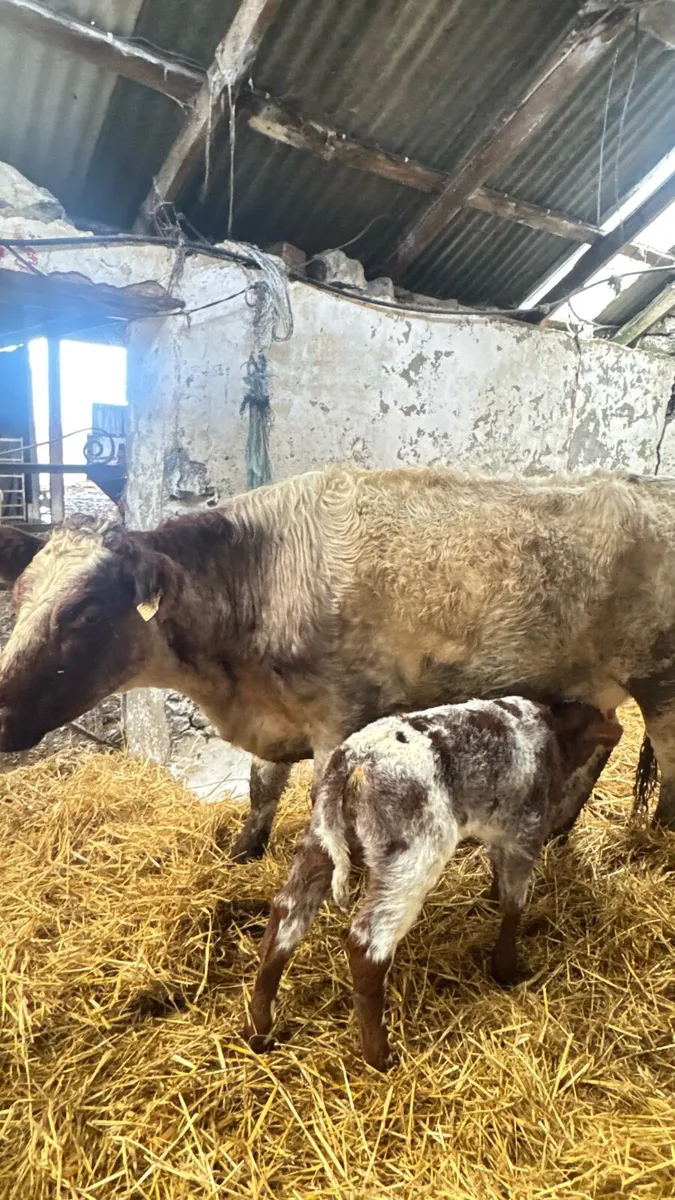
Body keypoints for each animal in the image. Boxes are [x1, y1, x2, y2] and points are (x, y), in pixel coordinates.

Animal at [0, 465, 671, 853]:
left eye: (84, 614)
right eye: (20, 596)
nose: (1, 716)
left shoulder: (338, 719)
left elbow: (323, 812)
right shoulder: (277, 714)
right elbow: (261, 789)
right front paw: (243, 851)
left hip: (658, 677)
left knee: (666, 754)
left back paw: (656, 838)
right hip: (583, 680)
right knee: (605, 735)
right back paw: (556, 826)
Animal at [243, 697, 623, 1070]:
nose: (615, 731)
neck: (551, 733)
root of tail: (352, 763)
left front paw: (490, 900)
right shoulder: (524, 829)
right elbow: (514, 902)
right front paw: (506, 968)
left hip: (324, 837)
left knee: (286, 916)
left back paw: (259, 1030)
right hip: (412, 853)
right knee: (368, 944)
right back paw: (380, 1056)